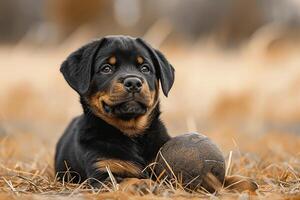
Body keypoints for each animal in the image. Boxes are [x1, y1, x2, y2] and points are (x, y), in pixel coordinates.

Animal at [55, 35, 175, 186]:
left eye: (145, 68)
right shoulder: (102, 171)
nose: (133, 82)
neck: (132, 134)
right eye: (106, 69)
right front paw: (141, 184)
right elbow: (126, 180)